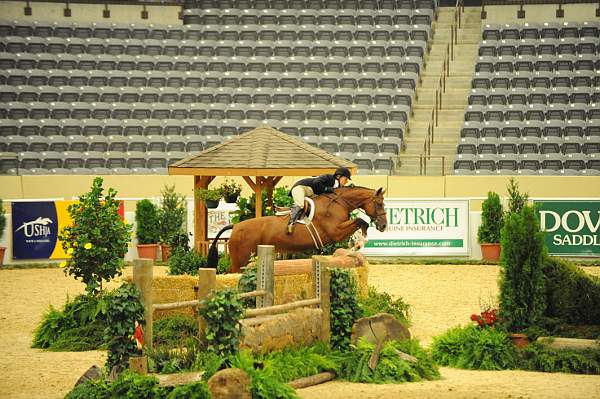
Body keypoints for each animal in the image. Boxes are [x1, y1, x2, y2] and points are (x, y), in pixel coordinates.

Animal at [207, 186, 390, 274]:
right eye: (379, 203)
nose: (383, 226)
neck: (339, 202)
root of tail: (236, 226)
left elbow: (359, 223)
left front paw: (356, 244)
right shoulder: (335, 232)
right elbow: (361, 221)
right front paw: (359, 243)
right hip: (241, 260)